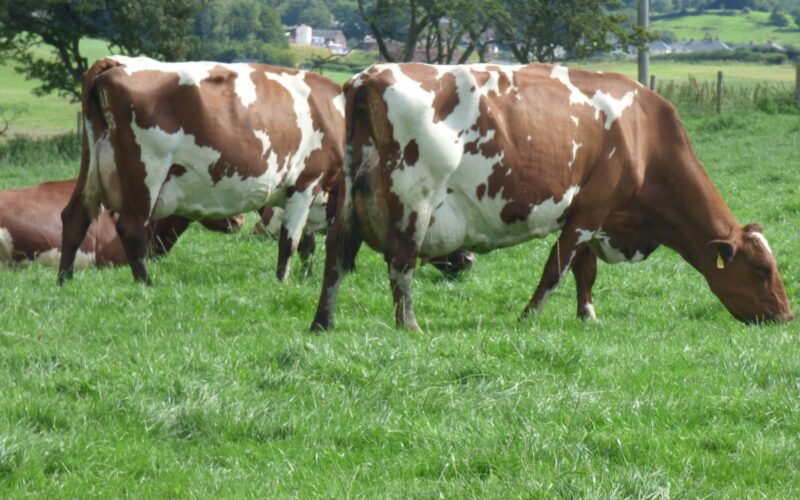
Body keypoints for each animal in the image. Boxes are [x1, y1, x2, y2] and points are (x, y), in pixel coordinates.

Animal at [58, 55, 344, 285]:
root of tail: (117, 62)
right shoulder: (306, 184)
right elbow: (290, 243)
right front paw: (282, 284)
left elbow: (307, 244)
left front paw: (306, 278)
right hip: (147, 172)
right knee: (132, 228)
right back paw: (146, 285)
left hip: (92, 165)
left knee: (75, 217)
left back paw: (65, 282)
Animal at [311, 63, 793, 330]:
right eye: (762, 269)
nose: (787, 317)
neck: (643, 132)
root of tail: (370, 75)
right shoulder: (591, 210)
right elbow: (556, 269)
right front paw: (529, 318)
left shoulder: (590, 214)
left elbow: (584, 271)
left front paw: (587, 316)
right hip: (416, 200)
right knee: (401, 262)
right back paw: (409, 325)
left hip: (349, 202)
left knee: (335, 255)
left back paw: (323, 322)